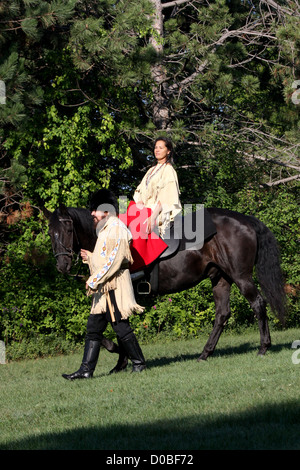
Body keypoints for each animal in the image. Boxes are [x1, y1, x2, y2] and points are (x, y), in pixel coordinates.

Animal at [44, 204, 286, 362]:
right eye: (50, 232)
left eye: (67, 229)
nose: (62, 265)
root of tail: (245, 220)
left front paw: (120, 355)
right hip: (221, 279)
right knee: (222, 314)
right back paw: (205, 353)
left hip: (240, 276)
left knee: (258, 304)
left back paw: (263, 347)